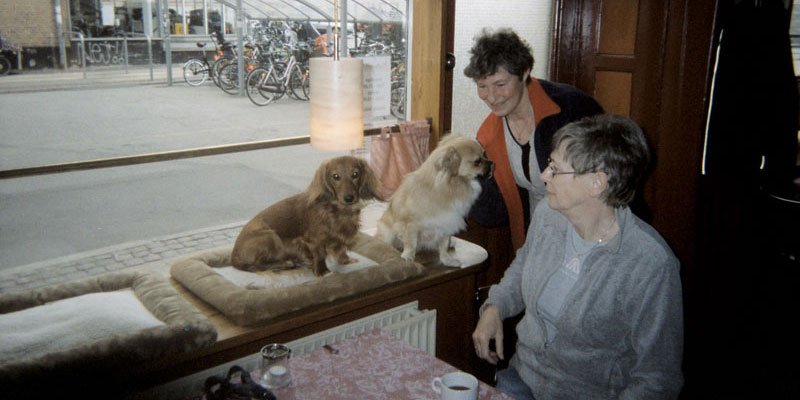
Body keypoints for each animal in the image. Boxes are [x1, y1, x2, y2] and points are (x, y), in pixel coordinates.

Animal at [231, 156, 382, 276]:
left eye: (355, 174)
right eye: (335, 176)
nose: (349, 198)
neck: (339, 211)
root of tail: (233, 257)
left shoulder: (340, 238)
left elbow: (341, 249)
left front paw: (346, 261)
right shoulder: (312, 241)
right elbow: (320, 255)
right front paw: (322, 271)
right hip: (271, 236)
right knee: (258, 265)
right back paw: (287, 263)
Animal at [375, 133, 493, 266]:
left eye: (485, 154)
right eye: (477, 162)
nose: (492, 163)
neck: (451, 187)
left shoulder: (446, 223)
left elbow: (443, 245)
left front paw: (447, 259)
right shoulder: (411, 224)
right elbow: (411, 242)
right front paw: (408, 256)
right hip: (387, 231)